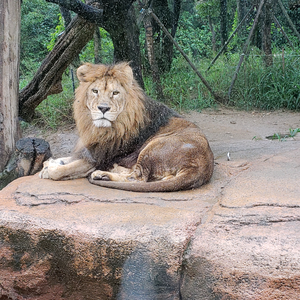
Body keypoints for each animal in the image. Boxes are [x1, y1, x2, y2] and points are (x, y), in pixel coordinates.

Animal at [39, 62, 213, 192]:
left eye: (115, 93)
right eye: (95, 91)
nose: (103, 108)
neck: (100, 129)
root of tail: (203, 167)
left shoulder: (99, 158)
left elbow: (60, 171)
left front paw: (49, 169)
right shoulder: (91, 150)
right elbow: (65, 159)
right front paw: (51, 163)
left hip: (153, 147)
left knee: (138, 178)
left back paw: (102, 174)